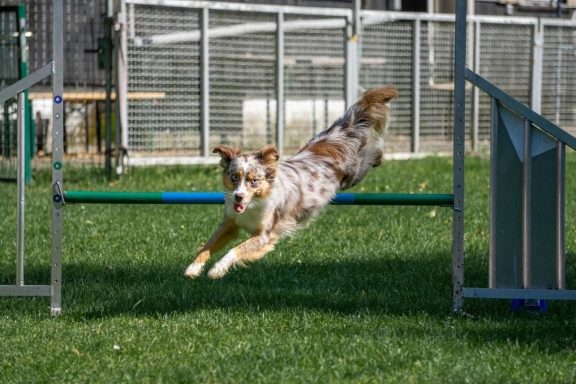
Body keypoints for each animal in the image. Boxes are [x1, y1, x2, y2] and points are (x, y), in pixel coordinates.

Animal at [184, 86, 396, 280]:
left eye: (254, 180)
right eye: (234, 177)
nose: (238, 197)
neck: (254, 204)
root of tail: (338, 135)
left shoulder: (265, 235)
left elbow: (235, 250)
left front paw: (217, 269)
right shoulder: (230, 223)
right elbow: (208, 245)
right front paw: (193, 268)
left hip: (354, 173)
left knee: (372, 152)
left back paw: (379, 156)